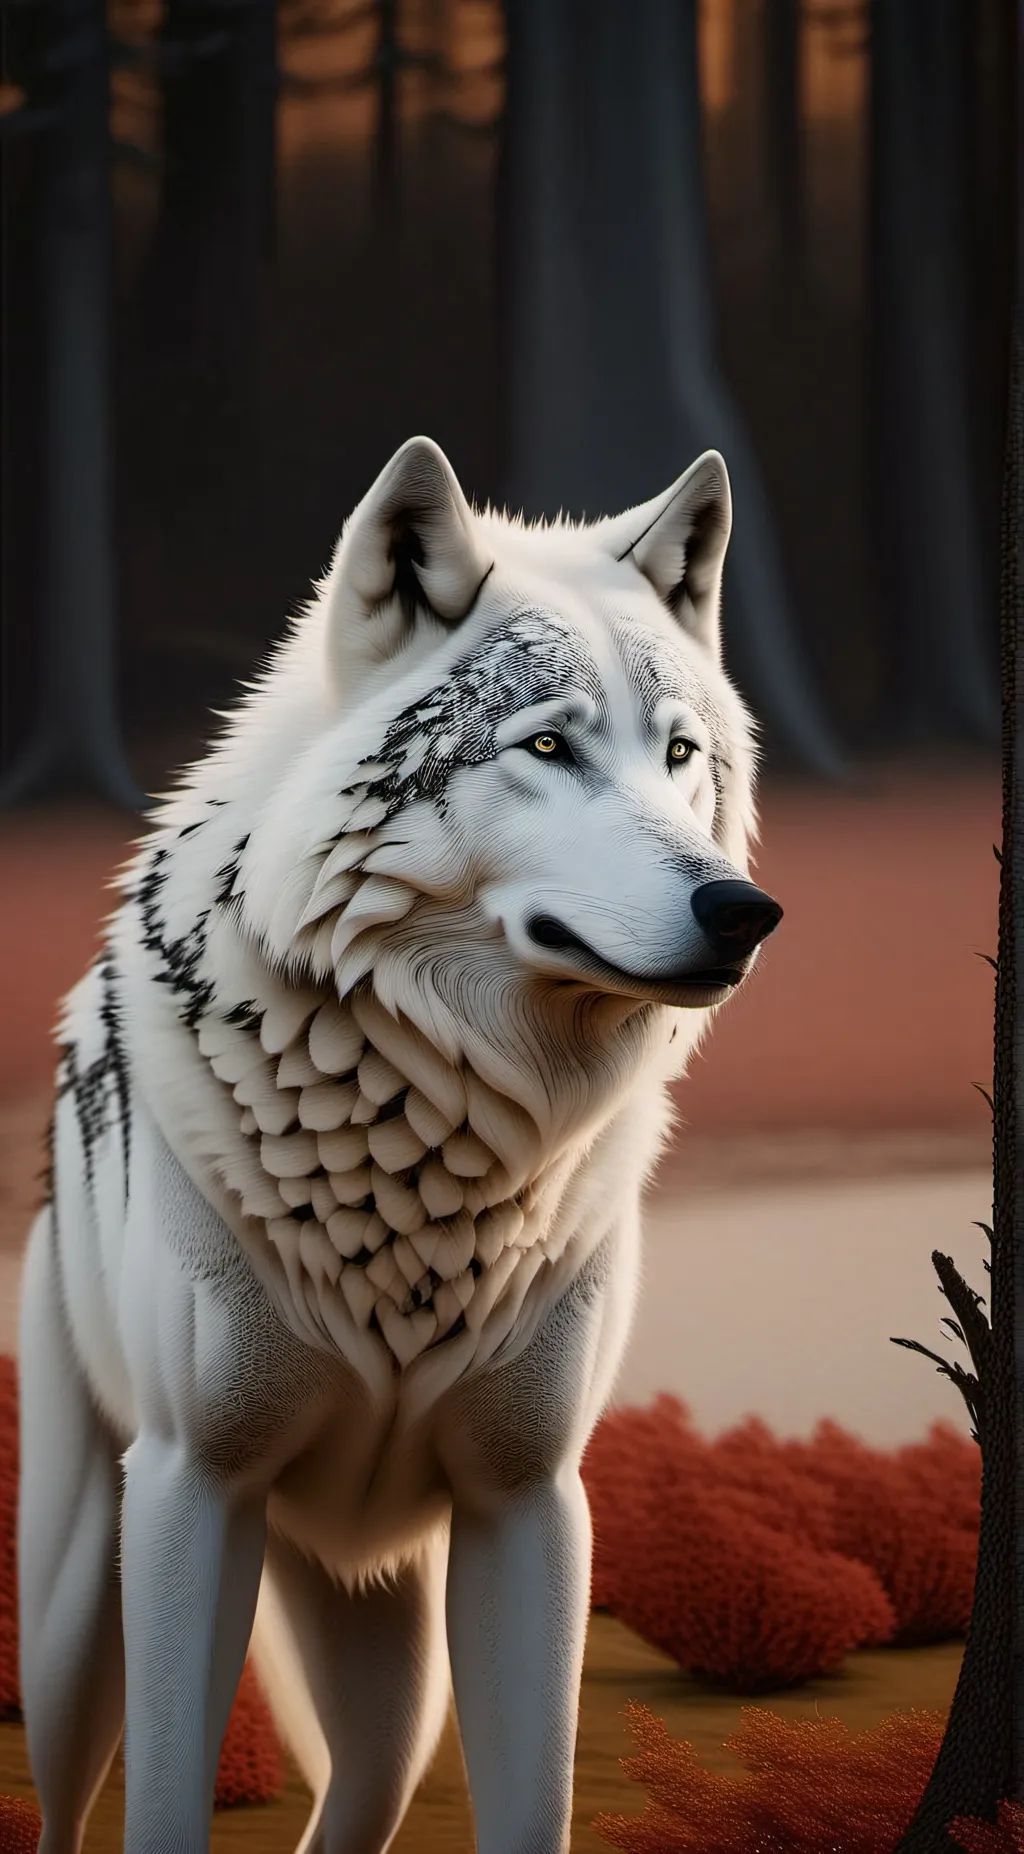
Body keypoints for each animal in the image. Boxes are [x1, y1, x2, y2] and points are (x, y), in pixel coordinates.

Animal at [18, 436, 781, 1854]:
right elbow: (163, 1802)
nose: (743, 909)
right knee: (64, 1802)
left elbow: (531, 1805)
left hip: (397, 1684)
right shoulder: (192, 1494)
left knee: (352, 1804)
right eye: (549, 745)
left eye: (680, 752)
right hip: (71, 1627)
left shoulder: (529, 1508)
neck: (440, 1144)